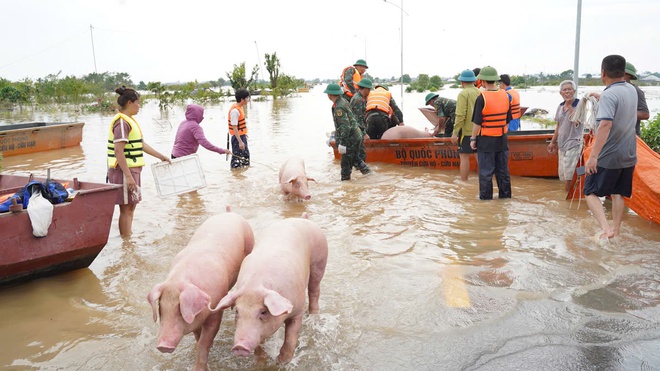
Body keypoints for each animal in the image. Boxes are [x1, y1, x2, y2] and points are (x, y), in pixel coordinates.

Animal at [148, 208, 254, 370]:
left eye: (180, 309)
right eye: (161, 308)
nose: (162, 346)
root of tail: (229, 213)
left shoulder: (216, 311)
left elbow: (204, 343)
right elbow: (198, 338)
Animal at [210, 214, 326, 364]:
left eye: (263, 312)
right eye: (237, 311)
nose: (240, 346)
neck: (255, 285)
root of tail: (303, 218)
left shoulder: (297, 310)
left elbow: (290, 338)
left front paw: (281, 362)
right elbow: (260, 343)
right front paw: (263, 359)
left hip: (320, 260)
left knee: (314, 290)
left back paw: (313, 316)